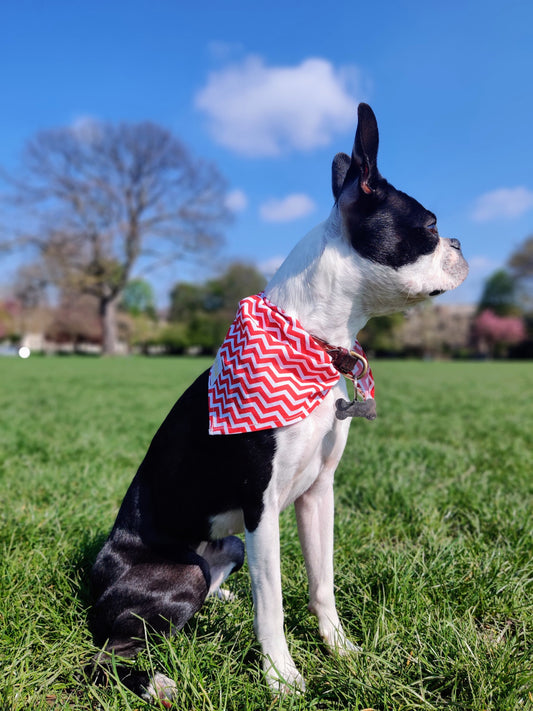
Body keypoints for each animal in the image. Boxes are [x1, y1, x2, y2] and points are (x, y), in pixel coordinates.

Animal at [89, 103, 468, 704]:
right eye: (429, 227)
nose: (458, 244)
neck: (315, 341)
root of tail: (95, 580)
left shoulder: (318, 493)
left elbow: (321, 582)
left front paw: (341, 649)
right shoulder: (261, 509)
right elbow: (272, 603)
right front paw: (282, 678)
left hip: (229, 547)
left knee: (211, 586)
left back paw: (220, 606)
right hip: (182, 573)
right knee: (105, 654)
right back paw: (157, 681)